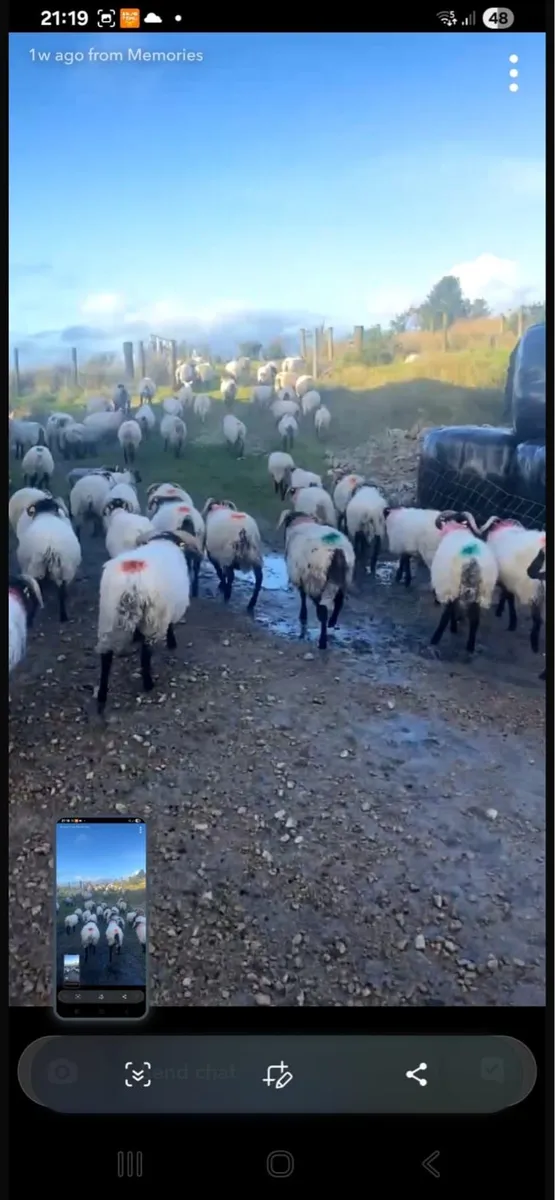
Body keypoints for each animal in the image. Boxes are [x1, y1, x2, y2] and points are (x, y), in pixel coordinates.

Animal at [95, 528, 203, 713]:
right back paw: (148, 683)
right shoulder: (168, 609)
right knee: (146, 655)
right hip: (152, 618)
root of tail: (132, 582)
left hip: (108, 616)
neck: (163, 541)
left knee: (106, 657)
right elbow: (170, 627)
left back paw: (102, 695)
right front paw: (172, 642)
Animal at [278, 510, 355, 649]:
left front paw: (303, 616)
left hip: (316, 581)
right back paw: (332, 622)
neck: (302, 522)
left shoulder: (302, 578)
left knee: (323, 610)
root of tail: (337, 551)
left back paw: (322, 642)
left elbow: (303, 596)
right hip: (344, 580)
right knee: (339, 603)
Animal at [429, 511, 498, 654]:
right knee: (475, 620)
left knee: (447, 614)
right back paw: (470, 647)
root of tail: (472, 560)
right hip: (481, 591)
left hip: (452, 586)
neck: (457, 530)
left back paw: (436, 639)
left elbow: (450, 613)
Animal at [479, 518, 546, 654]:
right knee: (508, 596)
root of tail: (502, 524)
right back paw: (510, 621)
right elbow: (537, 619)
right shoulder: (534, 593)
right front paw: (534, 644)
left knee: (506, 594)